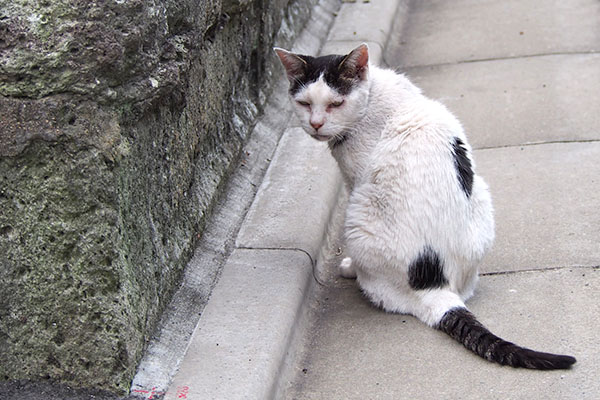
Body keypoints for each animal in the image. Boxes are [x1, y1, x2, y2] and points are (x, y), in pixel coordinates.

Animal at [276, 43, 576, 368]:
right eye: (304, 103)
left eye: (335, 103)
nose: (316, 124)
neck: (372, 98)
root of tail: (436, 286)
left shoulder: (354, 178)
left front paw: (348, 266)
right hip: (482, 194)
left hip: (358, 213)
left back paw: (355, 273)